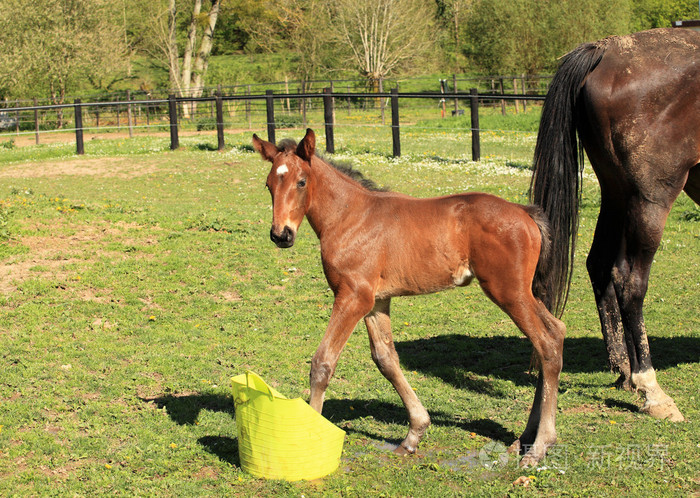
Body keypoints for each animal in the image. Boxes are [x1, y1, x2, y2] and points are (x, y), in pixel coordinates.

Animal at [254, 128, 568, 466]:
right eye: (269, 184)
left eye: (301, 181)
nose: (281, 235)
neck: (349, 217)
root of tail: (525, 211)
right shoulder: (375, 302)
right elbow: (386, 359)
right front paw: (414, 434)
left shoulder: (353, 297)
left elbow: (322, 362)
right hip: (523, 292)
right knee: (555, 332)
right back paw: (525, 438)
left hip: (509, 292)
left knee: (546, 343)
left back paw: (540, 446)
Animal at [532, 29, 696, 422]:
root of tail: (605, 50)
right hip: (649, 198)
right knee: (630, 281)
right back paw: (651, 388)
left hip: (617, 191)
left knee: (600, 265)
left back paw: (625, 371)